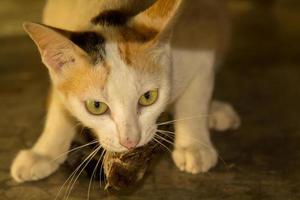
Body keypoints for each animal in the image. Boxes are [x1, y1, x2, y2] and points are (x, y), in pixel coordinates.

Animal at [11, 0, 239, 183]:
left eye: (148, 97)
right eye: (96, 106)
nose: (130, 142)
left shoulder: (200, 45)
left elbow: (195, 99)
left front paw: (194, 146)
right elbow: (59, 107)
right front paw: (43, 152)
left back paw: (216, 111)